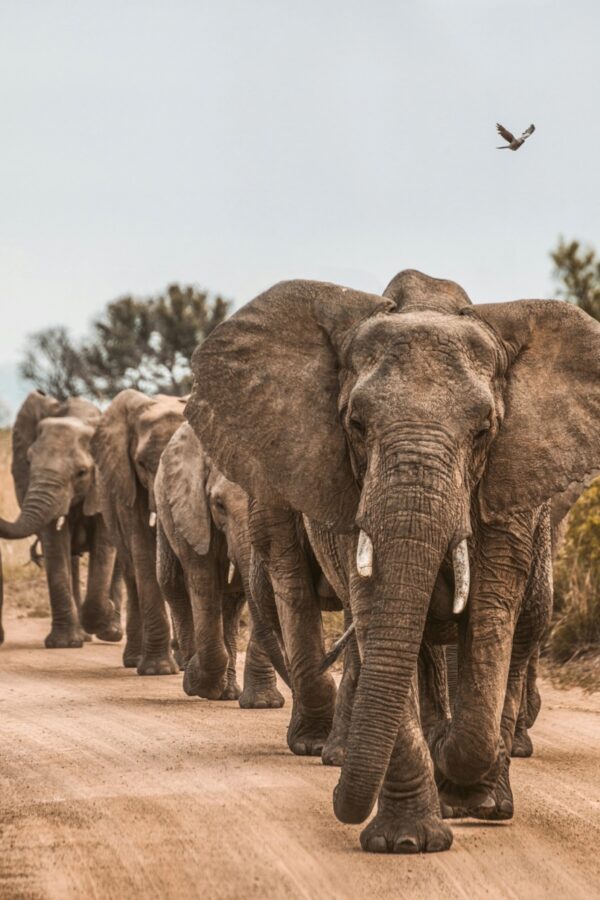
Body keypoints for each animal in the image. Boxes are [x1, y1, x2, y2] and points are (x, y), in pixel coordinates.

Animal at [92, 386, 188, 676]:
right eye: (143, 464)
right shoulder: (127, 481)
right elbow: (144, 551)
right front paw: (158, 670)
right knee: (132, 572)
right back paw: (135, 659)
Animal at [155, 422, 286, 712]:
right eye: (219, 504)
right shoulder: (192, 509)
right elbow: (203, 580)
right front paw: (196, 683)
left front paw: (264, 704)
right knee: (172, 583)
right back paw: (197, 676)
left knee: (233, 602)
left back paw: (227, 692)